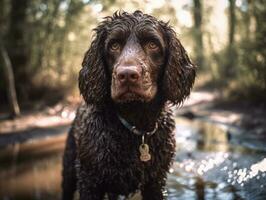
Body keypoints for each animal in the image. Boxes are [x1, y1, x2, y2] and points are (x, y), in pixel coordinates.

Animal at [61, 10, 195, 200]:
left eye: (152, 44)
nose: (127, 75)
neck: (136, 124)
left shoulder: (155, 181)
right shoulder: (89, 181)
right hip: (70, 170)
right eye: (114, 45)